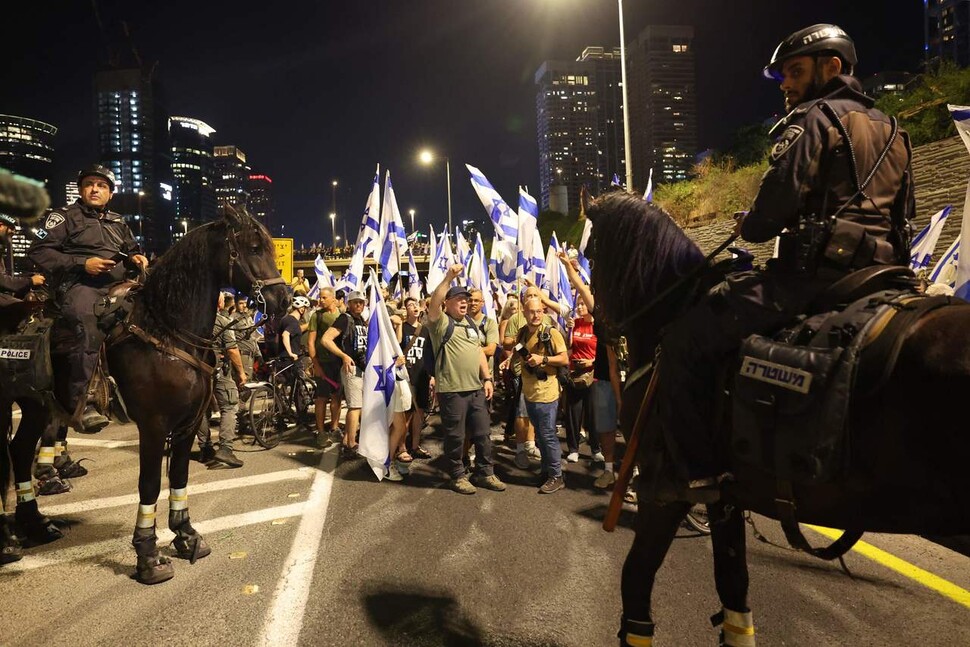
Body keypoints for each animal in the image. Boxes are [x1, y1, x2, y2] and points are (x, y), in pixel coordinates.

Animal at [0, 205, 288, 584]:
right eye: (254, 248)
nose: (284, 299)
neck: (168, 330)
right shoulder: (153, 425)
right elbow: (150, 483)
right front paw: (148, 555)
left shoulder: (187, 422)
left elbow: (179, 476)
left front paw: (186, 536)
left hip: (36, 404)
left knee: (19, 451)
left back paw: (35, 523)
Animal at [584, 194, 968, 647]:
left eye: (589, 251)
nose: (602, 329)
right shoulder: (726, 498)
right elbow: (734, 592)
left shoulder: (664, 491)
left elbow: (636, 586)